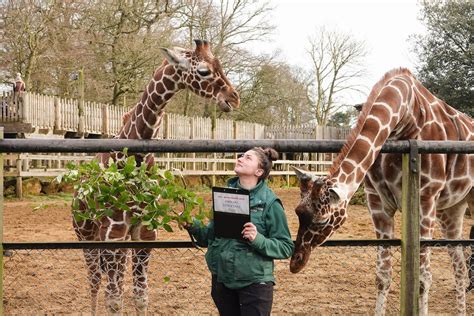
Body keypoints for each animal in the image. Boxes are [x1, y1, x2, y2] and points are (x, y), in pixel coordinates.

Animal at [73, 39, 241, 314]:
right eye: (204, 71)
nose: (233, 98)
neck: (135, 158)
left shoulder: (143, 234)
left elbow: (140, 295)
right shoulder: (112, 234)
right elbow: (115, 301)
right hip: (85, 234)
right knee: (95, 283)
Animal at [290, 68, 472, 314]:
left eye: (322, 221)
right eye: (297, 212)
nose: (295, 262)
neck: (404, 114)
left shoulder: (426, 199)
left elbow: (423, 279)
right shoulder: (378, 203)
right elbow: (382, 277)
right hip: (452, 208)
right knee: (460, 267)